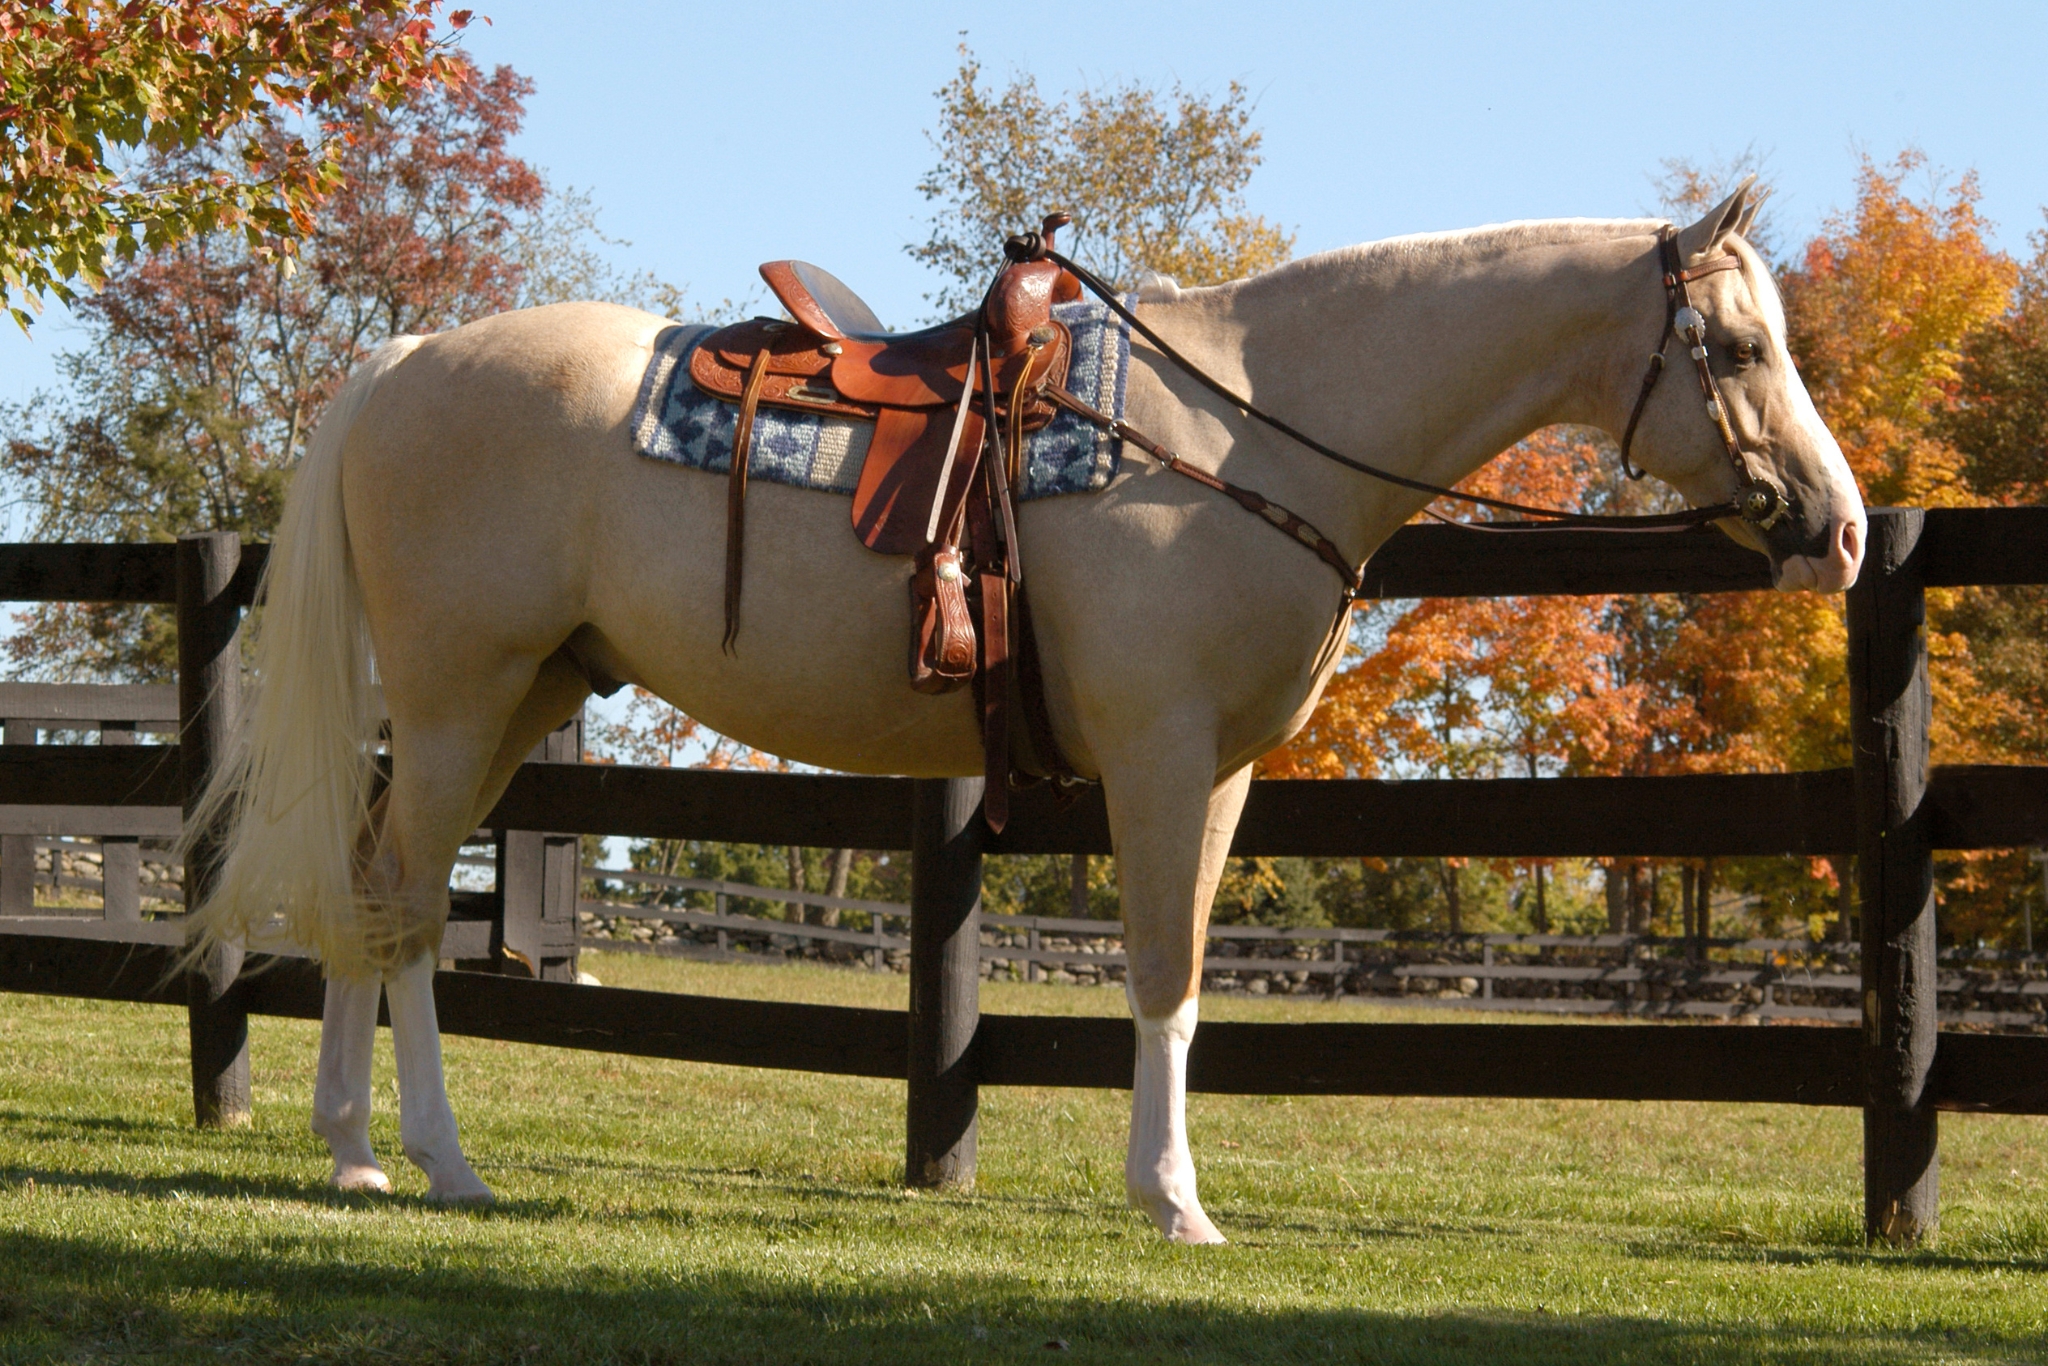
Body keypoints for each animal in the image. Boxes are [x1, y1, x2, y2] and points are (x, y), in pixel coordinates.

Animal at [190, 181, 1864, 1243]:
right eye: (1735, 348)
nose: (1840, 530)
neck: (1246, 427)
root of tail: (407, 358)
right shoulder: (1161, 754)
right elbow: (1163, 971)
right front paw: (1173, 1200)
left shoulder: (1224, 775)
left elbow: (1183, 977)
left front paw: (1170, 1187)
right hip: (461, 695)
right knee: (405, 904)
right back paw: (435, 1159)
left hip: (516, 695)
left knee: (373, 885)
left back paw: (353, 1150)